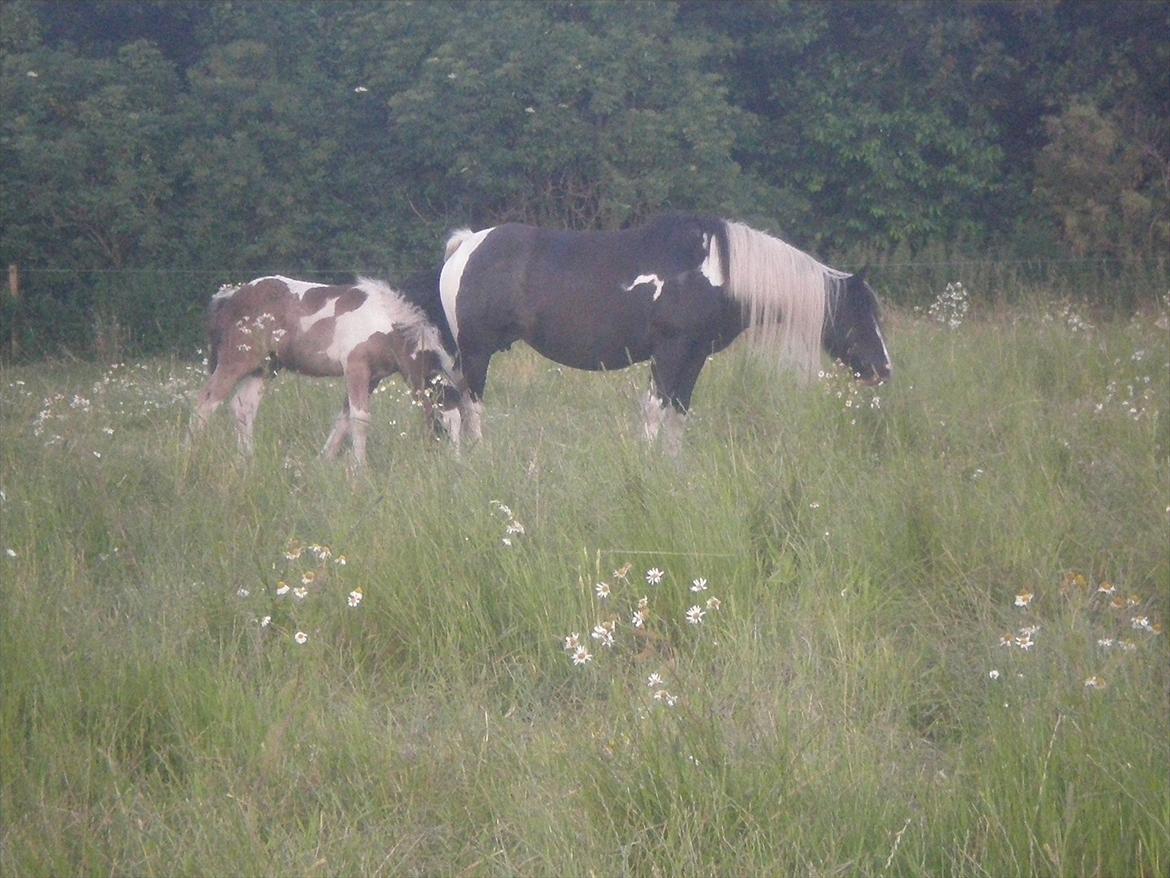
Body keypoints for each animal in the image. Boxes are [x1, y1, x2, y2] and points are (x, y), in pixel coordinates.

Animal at [442, 216, 889, 454]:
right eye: (859, 314)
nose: (883, 370)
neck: (713, 270)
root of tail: (467, 245)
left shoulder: (693, 357)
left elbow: (678, 413)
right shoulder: (670, 353)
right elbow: (655, 410)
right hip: (477, 351)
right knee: (470, 405)